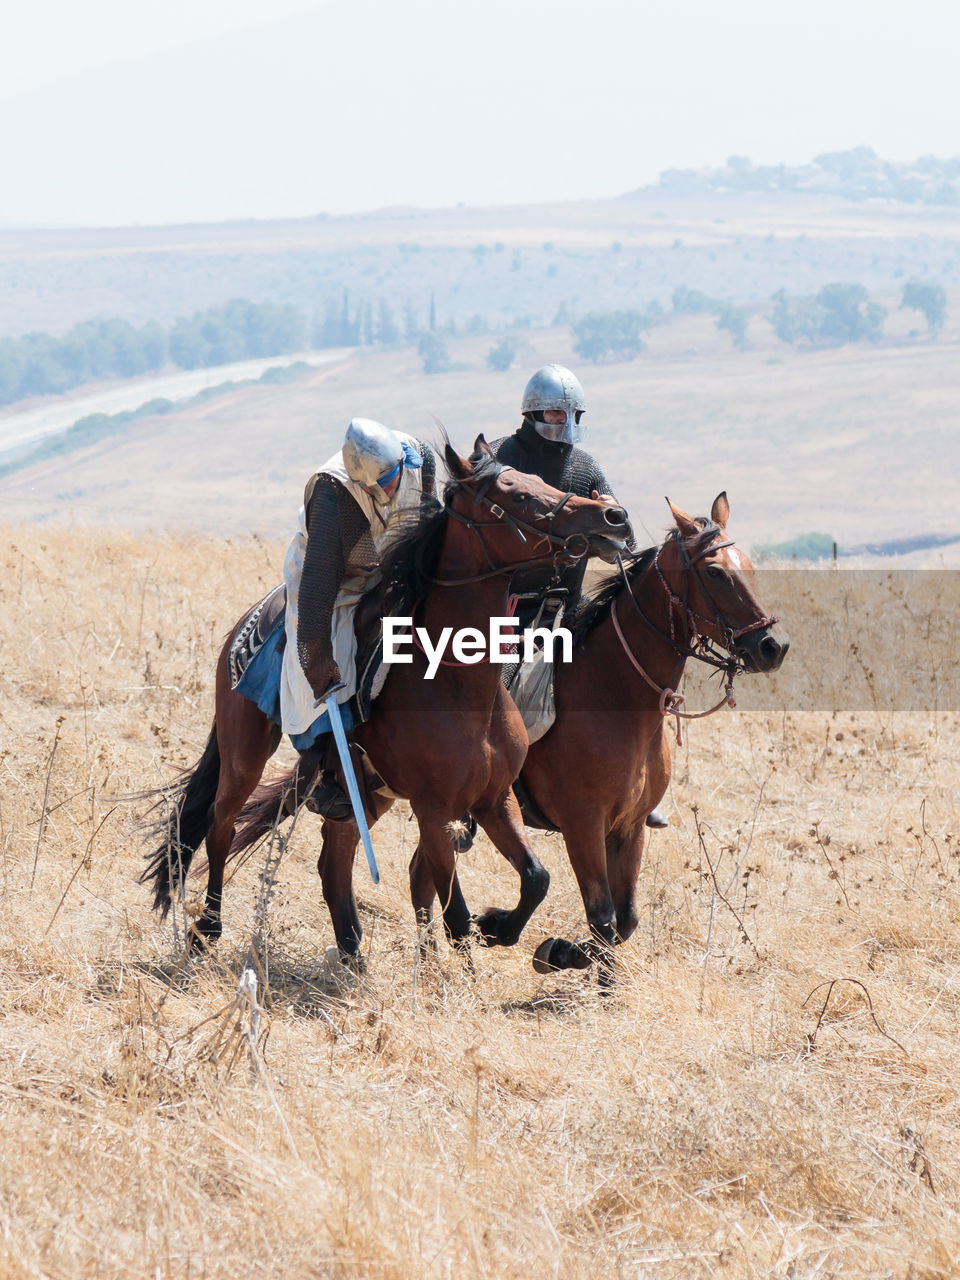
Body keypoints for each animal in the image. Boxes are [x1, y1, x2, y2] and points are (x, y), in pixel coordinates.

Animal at [138, 440, 627, 952]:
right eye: (518, 495)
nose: (612, 517)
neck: (463, 687)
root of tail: (251, 617)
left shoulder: (494, 801)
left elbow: (536, 879)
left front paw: (499, 927)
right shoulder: (434, 812)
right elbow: (455, 916)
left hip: (363, 792)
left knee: (333, 861)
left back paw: (353, 951)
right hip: (244, 753)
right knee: (221, 825)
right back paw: (208, 929)